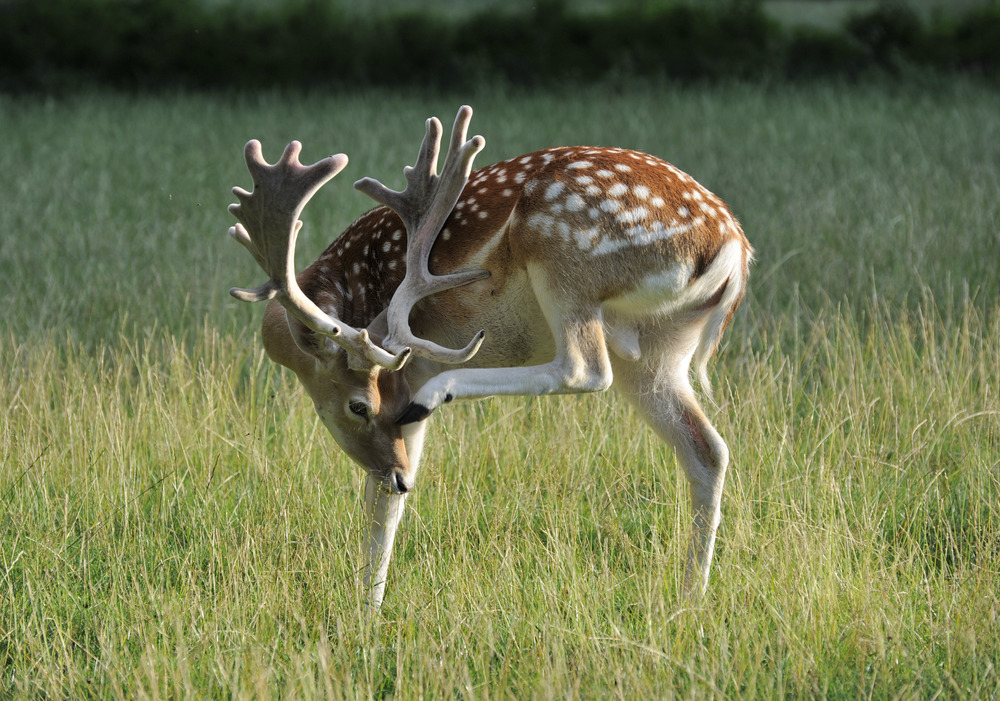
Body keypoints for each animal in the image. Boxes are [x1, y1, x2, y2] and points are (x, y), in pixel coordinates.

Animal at [227, 105, 752, 612]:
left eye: (361, 405)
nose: (400, 478)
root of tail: (731, 251)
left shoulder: (414, 364)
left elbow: (380, 503)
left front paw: (365, 615)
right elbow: (381, 504)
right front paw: (368, 611)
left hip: (563, 257)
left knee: (584, 368)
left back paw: (441, 393)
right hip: (659, 351)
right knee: (708, 450)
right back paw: (688, 603)